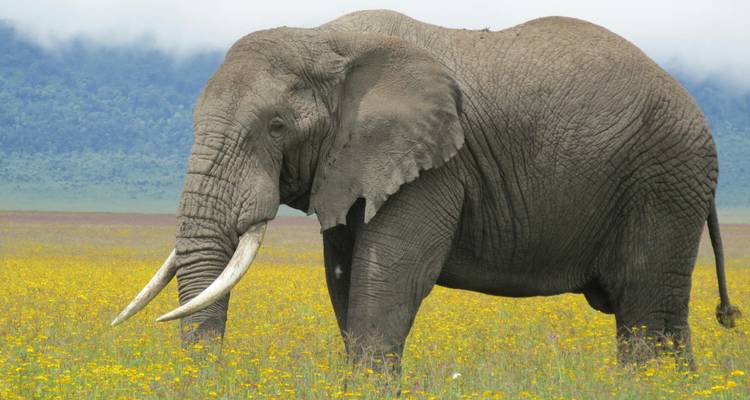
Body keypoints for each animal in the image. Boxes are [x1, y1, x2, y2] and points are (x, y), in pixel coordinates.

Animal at [112, 10, 741, 370]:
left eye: (276, 127)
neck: (327, 41)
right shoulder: (352, 165)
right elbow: (344, 278)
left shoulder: (437, 164)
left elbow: (390, 276)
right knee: (662, 318)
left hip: (664, 181)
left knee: (645, 311)